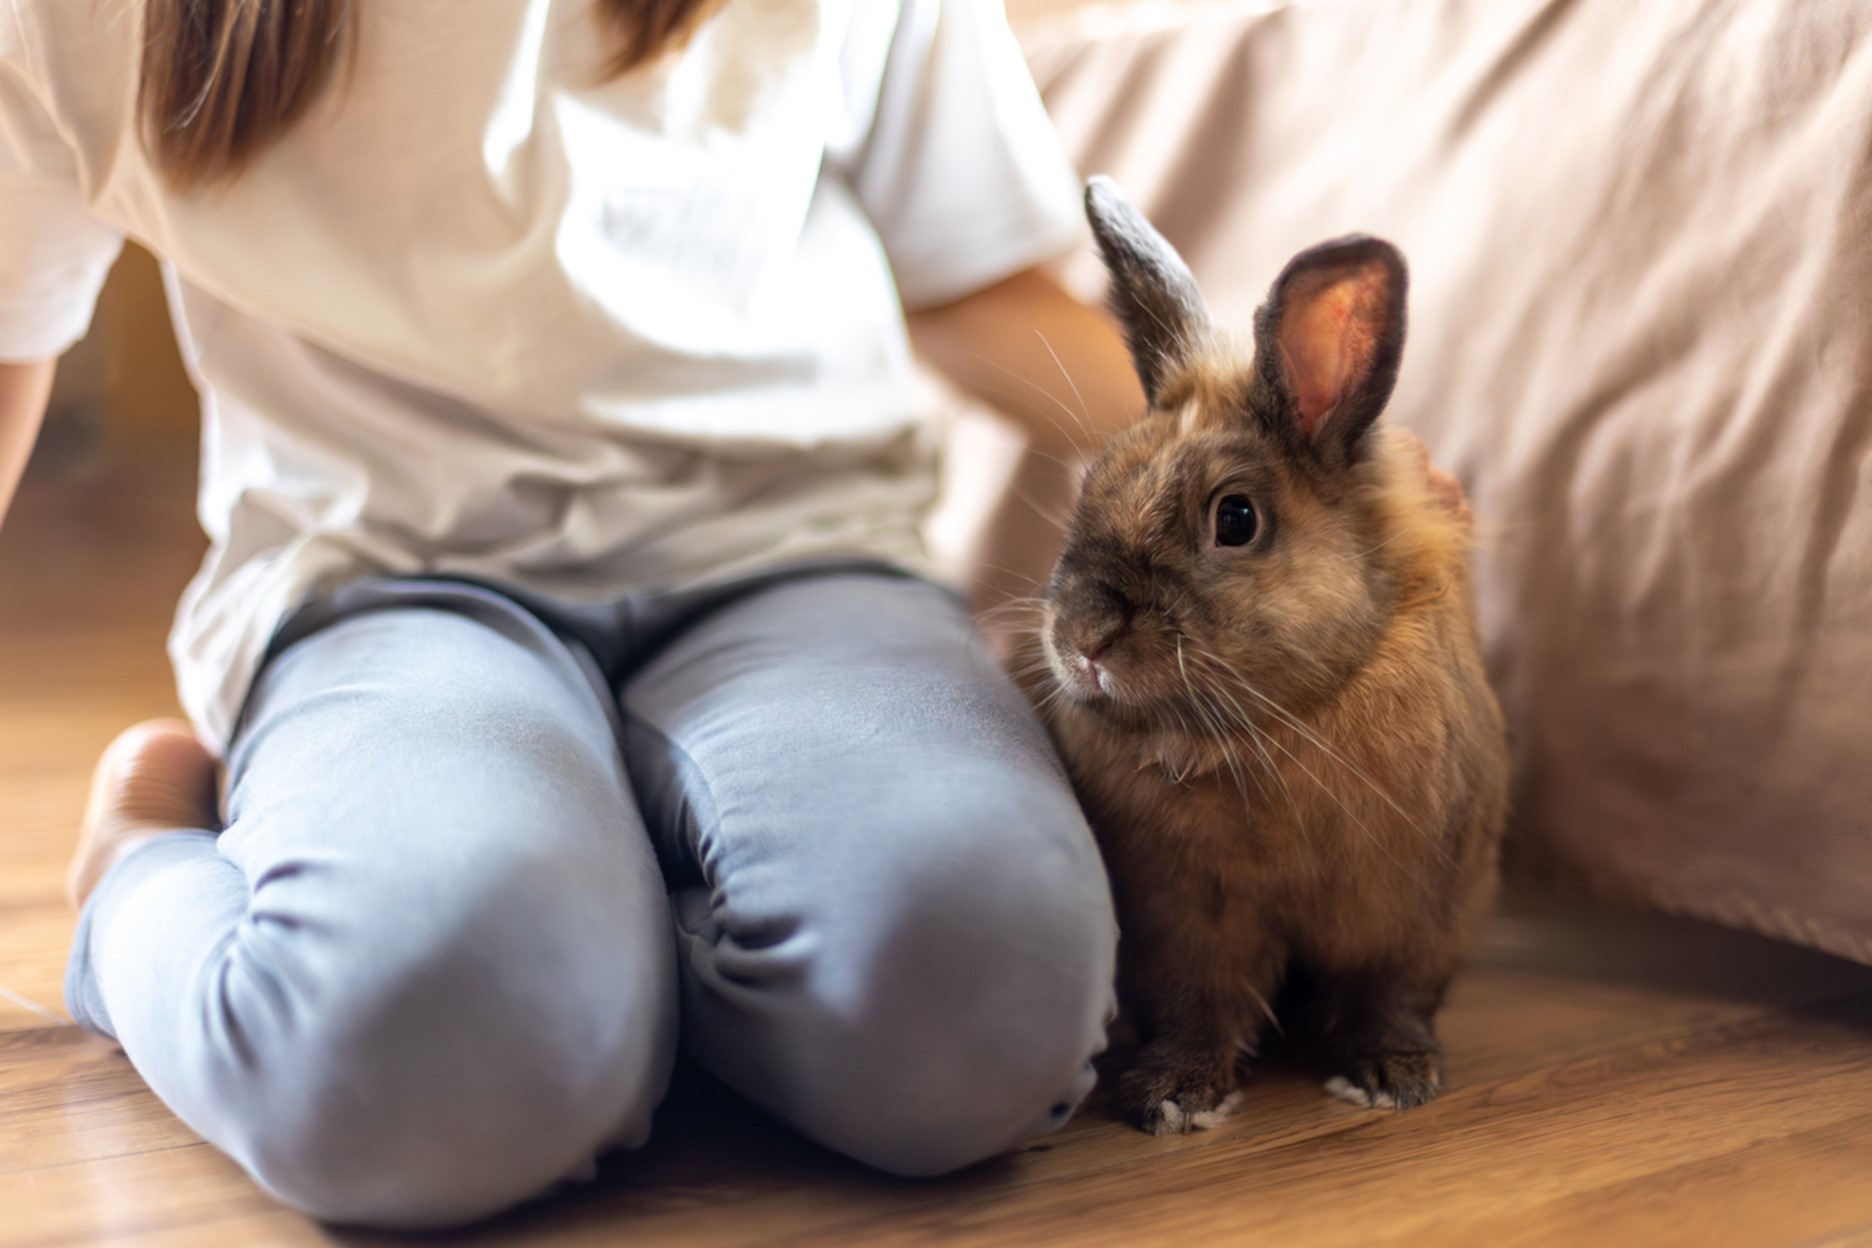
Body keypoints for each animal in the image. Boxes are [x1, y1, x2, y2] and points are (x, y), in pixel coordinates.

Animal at [1033, 180, 1512, 1137]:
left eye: (1236, 519)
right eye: (1091, 484)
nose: (1084, 638)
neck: (1280, 726)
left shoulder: (1413, 909)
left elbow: (1388, 995)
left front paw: (1391, 1077)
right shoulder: (1183, 920)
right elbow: (1198, 1005)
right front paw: (1174, 1097)